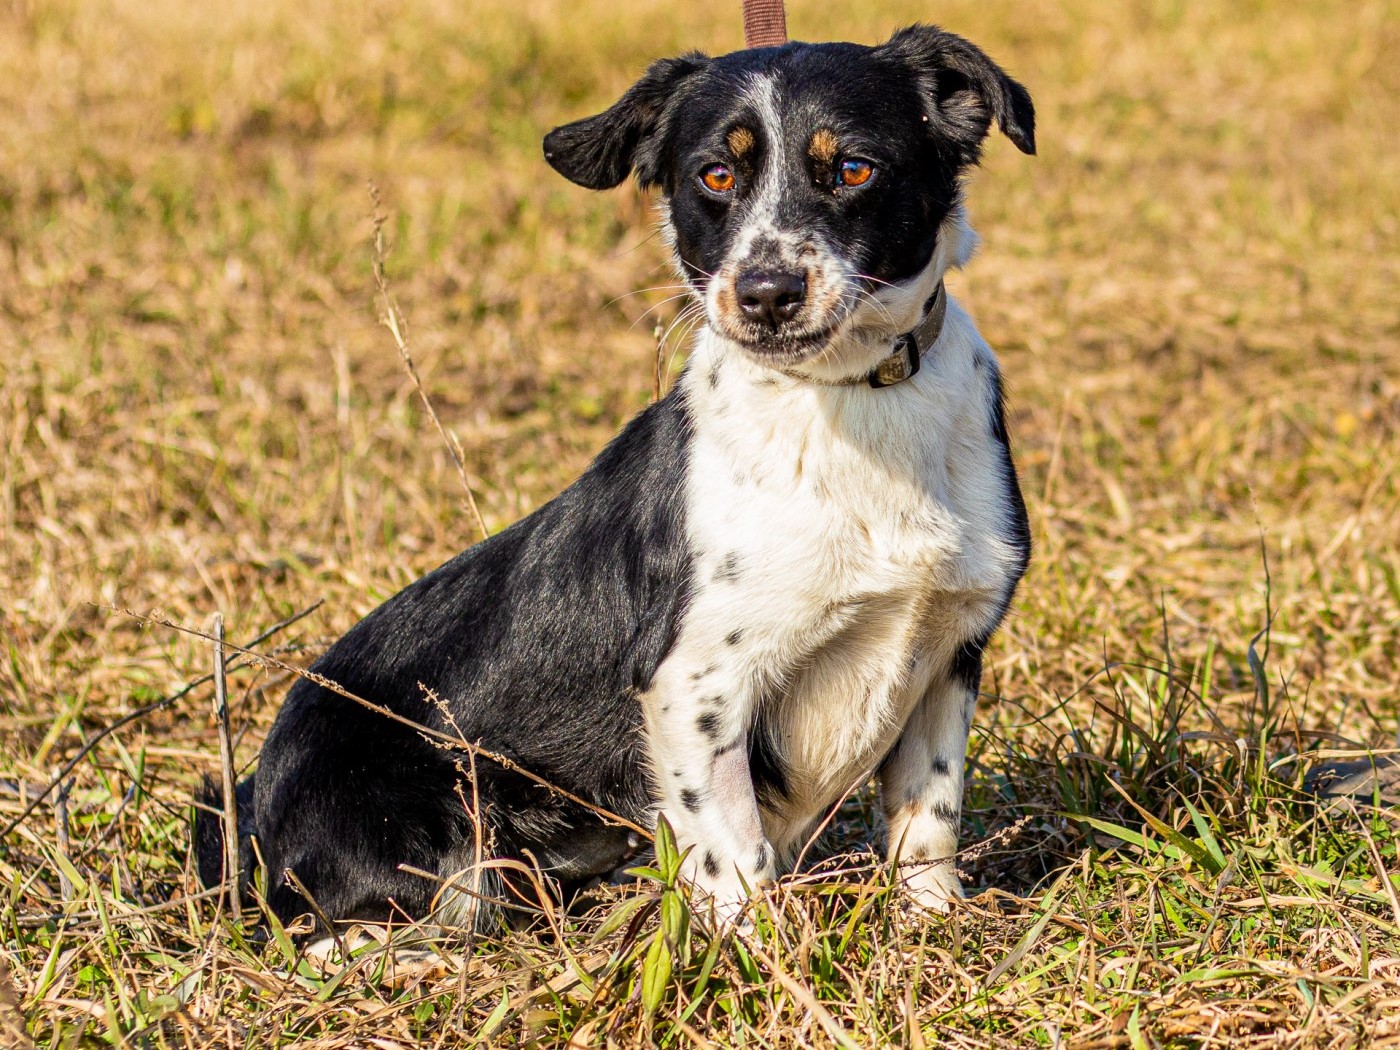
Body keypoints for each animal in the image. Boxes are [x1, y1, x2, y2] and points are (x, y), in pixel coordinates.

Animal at [194, 22, 1034, 931]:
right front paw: (758, 956)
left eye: (853, 168)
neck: (844, 399)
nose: (766, 292)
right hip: (426, 834)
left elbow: (929, 825)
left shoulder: (946, 655)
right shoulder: (695, 683)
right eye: (715, 174)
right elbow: (735, 857)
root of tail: (258, 806)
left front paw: (935, 932)